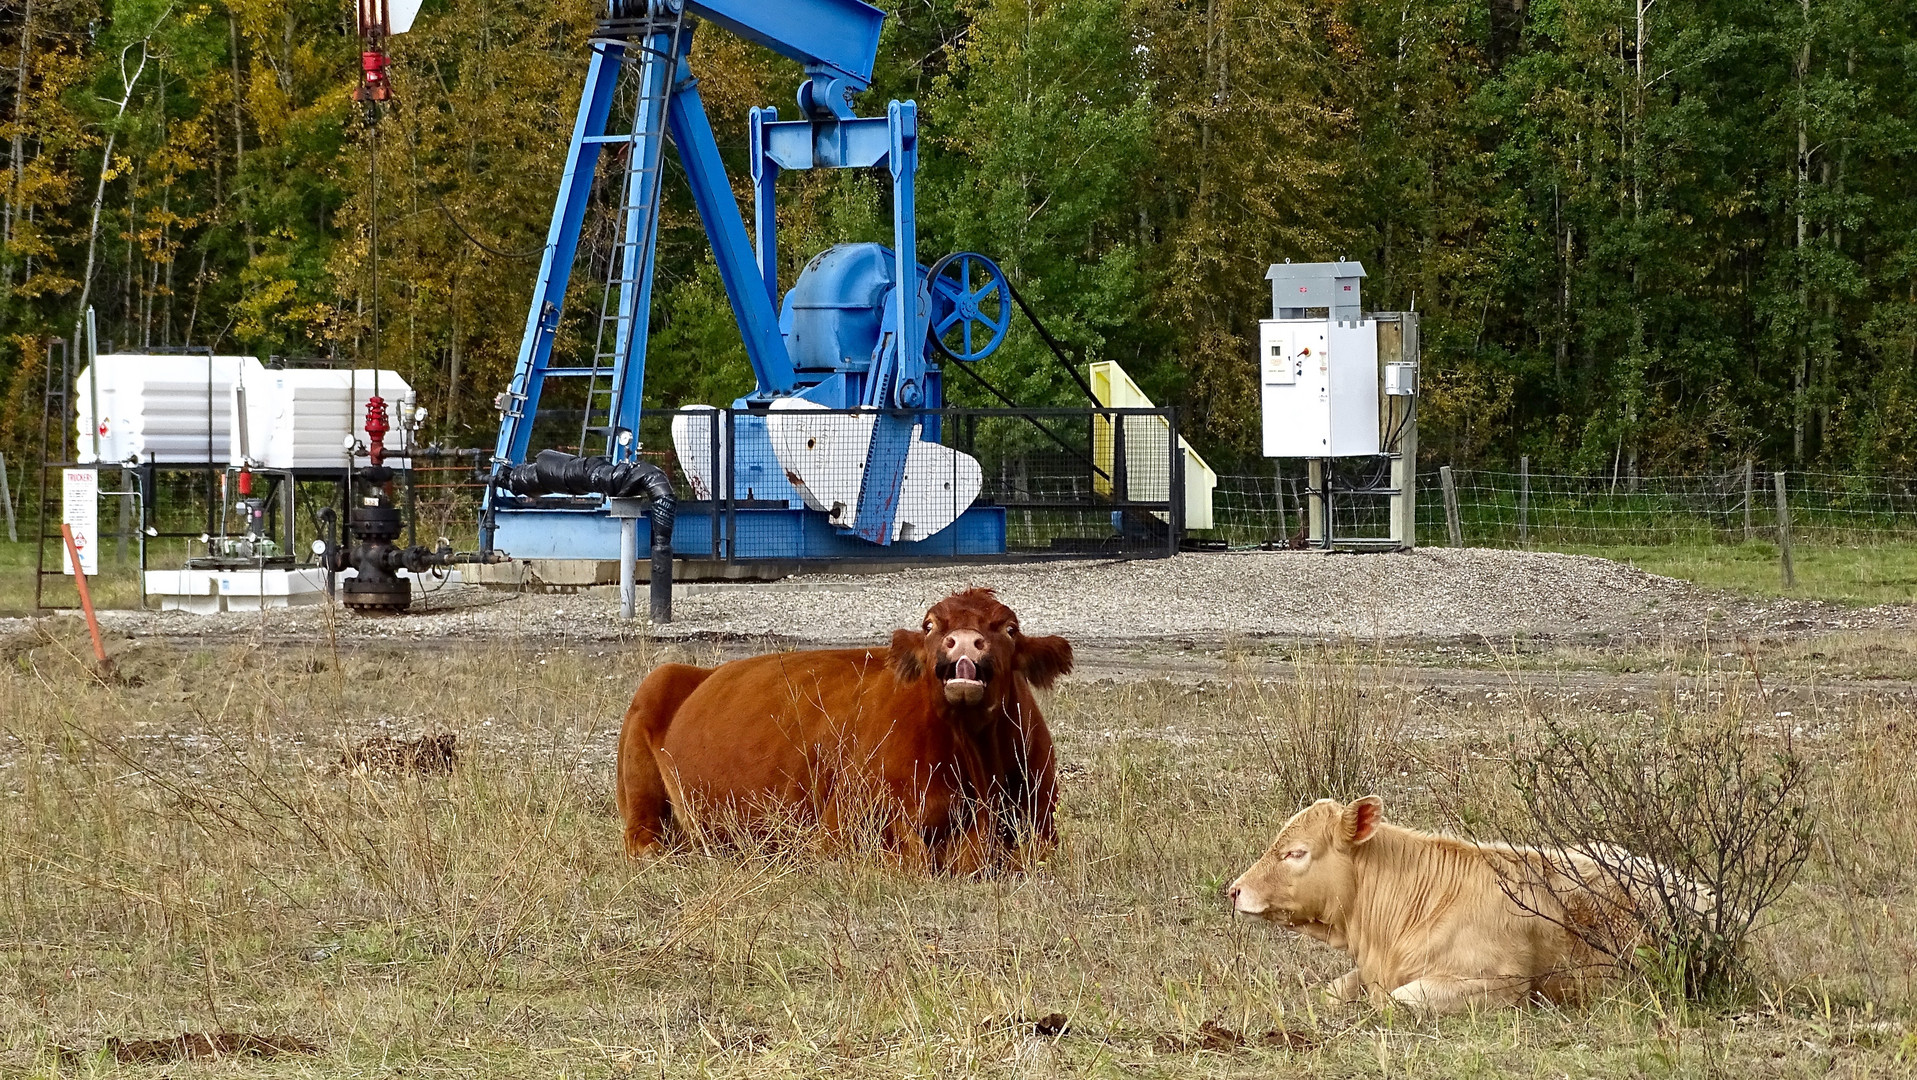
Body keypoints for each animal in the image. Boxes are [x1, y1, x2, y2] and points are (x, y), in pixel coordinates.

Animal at [613, 586, 1073, 874]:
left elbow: (1028, 855)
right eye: (929, 625)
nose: (962, 640)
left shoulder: (1044, 824)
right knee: (643, 836)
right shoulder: (839, 829)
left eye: (1009, 628)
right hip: (652, 708)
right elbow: (913, 860)